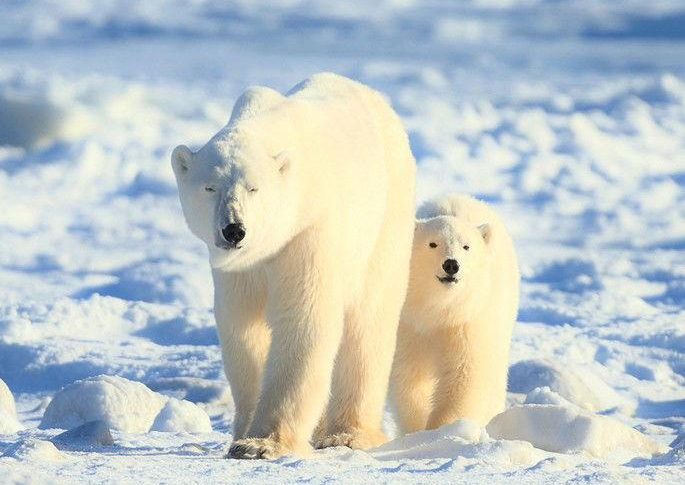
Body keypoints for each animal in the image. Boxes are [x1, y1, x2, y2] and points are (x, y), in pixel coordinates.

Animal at [171, 73, 416, 460]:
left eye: (253, 188)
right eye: (209, 187)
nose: (234, 229)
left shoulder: (307, 233)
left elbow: (303, 318)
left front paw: (262, 444)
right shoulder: (238, 270)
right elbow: (242, 327)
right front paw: (241, 434)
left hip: (383, 224)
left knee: (367, 321)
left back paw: (348, 433)